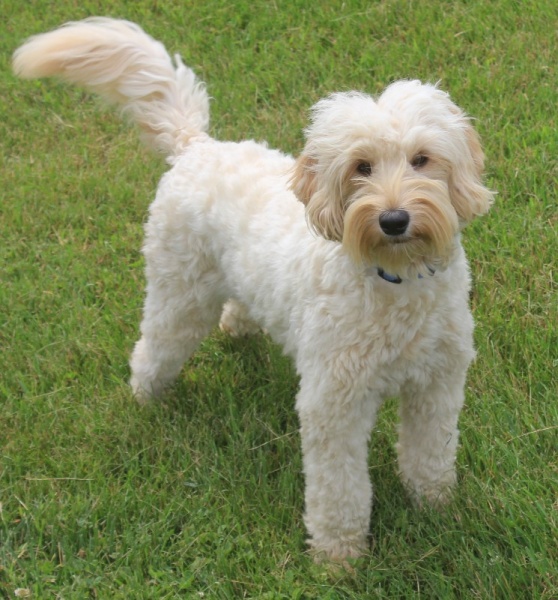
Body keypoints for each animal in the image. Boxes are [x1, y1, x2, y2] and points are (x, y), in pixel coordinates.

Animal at [13, 18, 494, 564]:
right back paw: (147, 399)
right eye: (361, 167)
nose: (393, 219)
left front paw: (436, 509)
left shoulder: (437, 386)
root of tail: (196, 145)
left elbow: (430, 455)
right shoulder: (334, 402)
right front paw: (338, 556)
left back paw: (236, 328)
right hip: (178, 296)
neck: (394, 281)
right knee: (152, 349)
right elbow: (339, 488)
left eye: (421, 160)